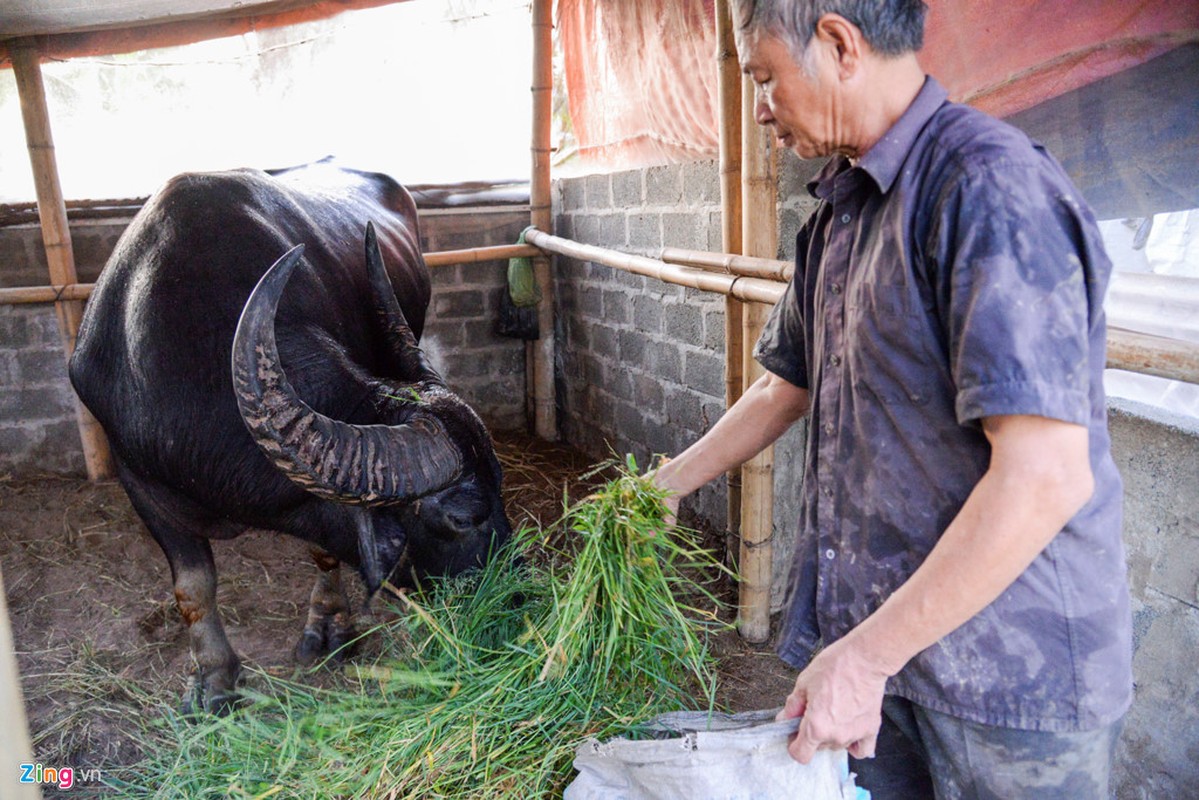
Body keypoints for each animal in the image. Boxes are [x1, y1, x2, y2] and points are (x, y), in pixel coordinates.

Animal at [68, 163, 513, 714]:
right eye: (463, 517)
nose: (515, 588)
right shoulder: (141, 487)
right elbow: (193, 587)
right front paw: (214, 682)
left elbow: (324, 552)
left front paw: (329, 628)